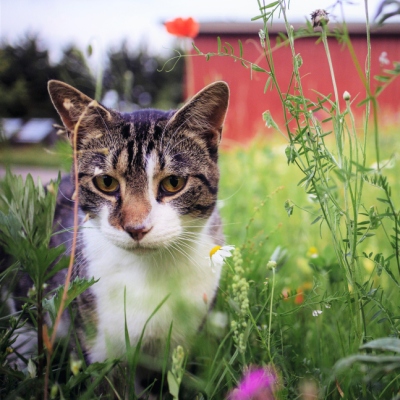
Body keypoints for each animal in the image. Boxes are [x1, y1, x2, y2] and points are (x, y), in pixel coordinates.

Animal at [7, 79, 228, 392]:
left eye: (174, 182)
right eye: (106, 182)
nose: (136, 228)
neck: (150, 272)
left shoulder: (183, 338)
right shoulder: (98, 344)